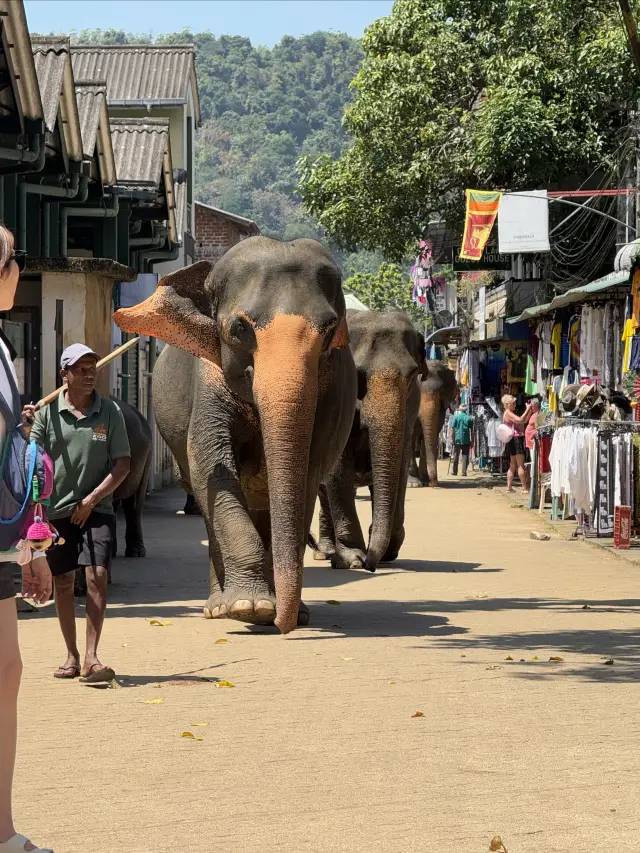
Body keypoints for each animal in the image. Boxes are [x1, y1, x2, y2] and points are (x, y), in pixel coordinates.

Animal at [114, 237, 357, 634]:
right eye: (240, 328)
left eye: (329, 329)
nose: (286, 625)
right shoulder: (208, 378)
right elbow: (211, 467)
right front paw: (250, 608)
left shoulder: (333, 392)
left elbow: (307, 476)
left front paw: (281, 611)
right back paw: (218, 607)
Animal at [313, 310, 425, 572]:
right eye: (358, 375)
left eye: (412, 377)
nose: (370, 566)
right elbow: (338, 472)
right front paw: (353, 559)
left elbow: (399, 468)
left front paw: (388, 551)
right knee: (323, 491)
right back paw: (326, 553)